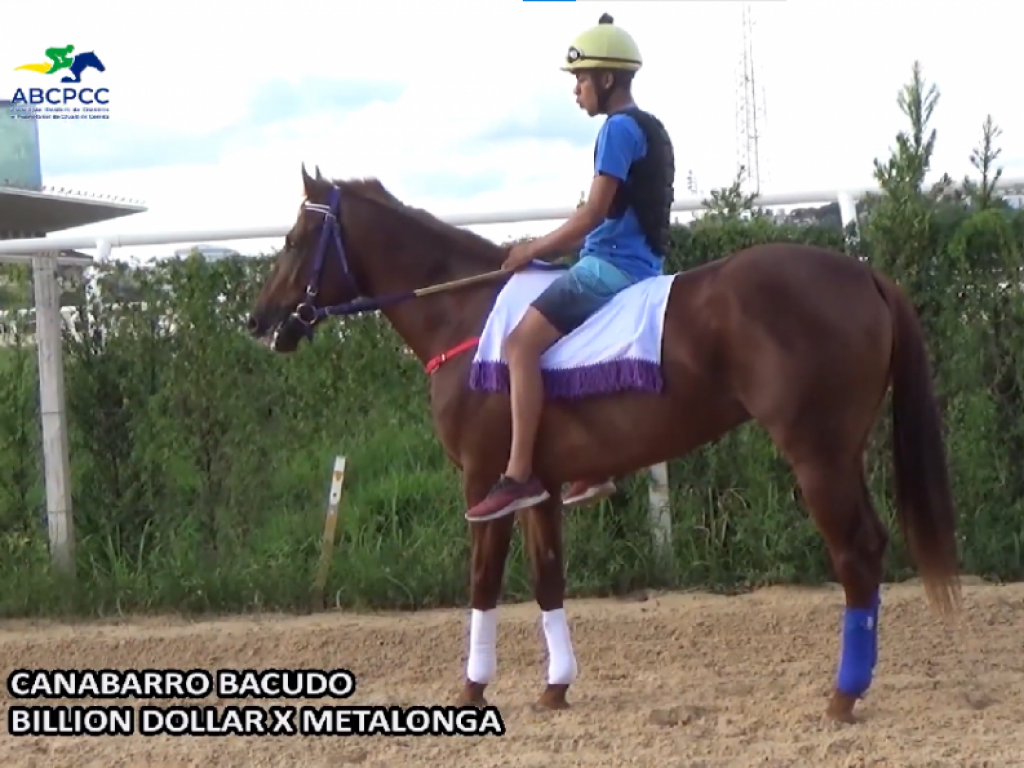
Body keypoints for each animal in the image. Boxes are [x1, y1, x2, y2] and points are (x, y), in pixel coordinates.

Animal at [245, 165, 958, 724]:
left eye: (296, 240)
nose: (259, 321)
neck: (467, 316)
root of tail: (862, 275)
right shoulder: (539, 486)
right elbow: (547, 577)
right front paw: (555, 687)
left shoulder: (484, 481)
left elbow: (483, 582)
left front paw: (473, 688)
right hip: (844, 452)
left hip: (817, 456)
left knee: (856, 553)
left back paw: (843, 696)